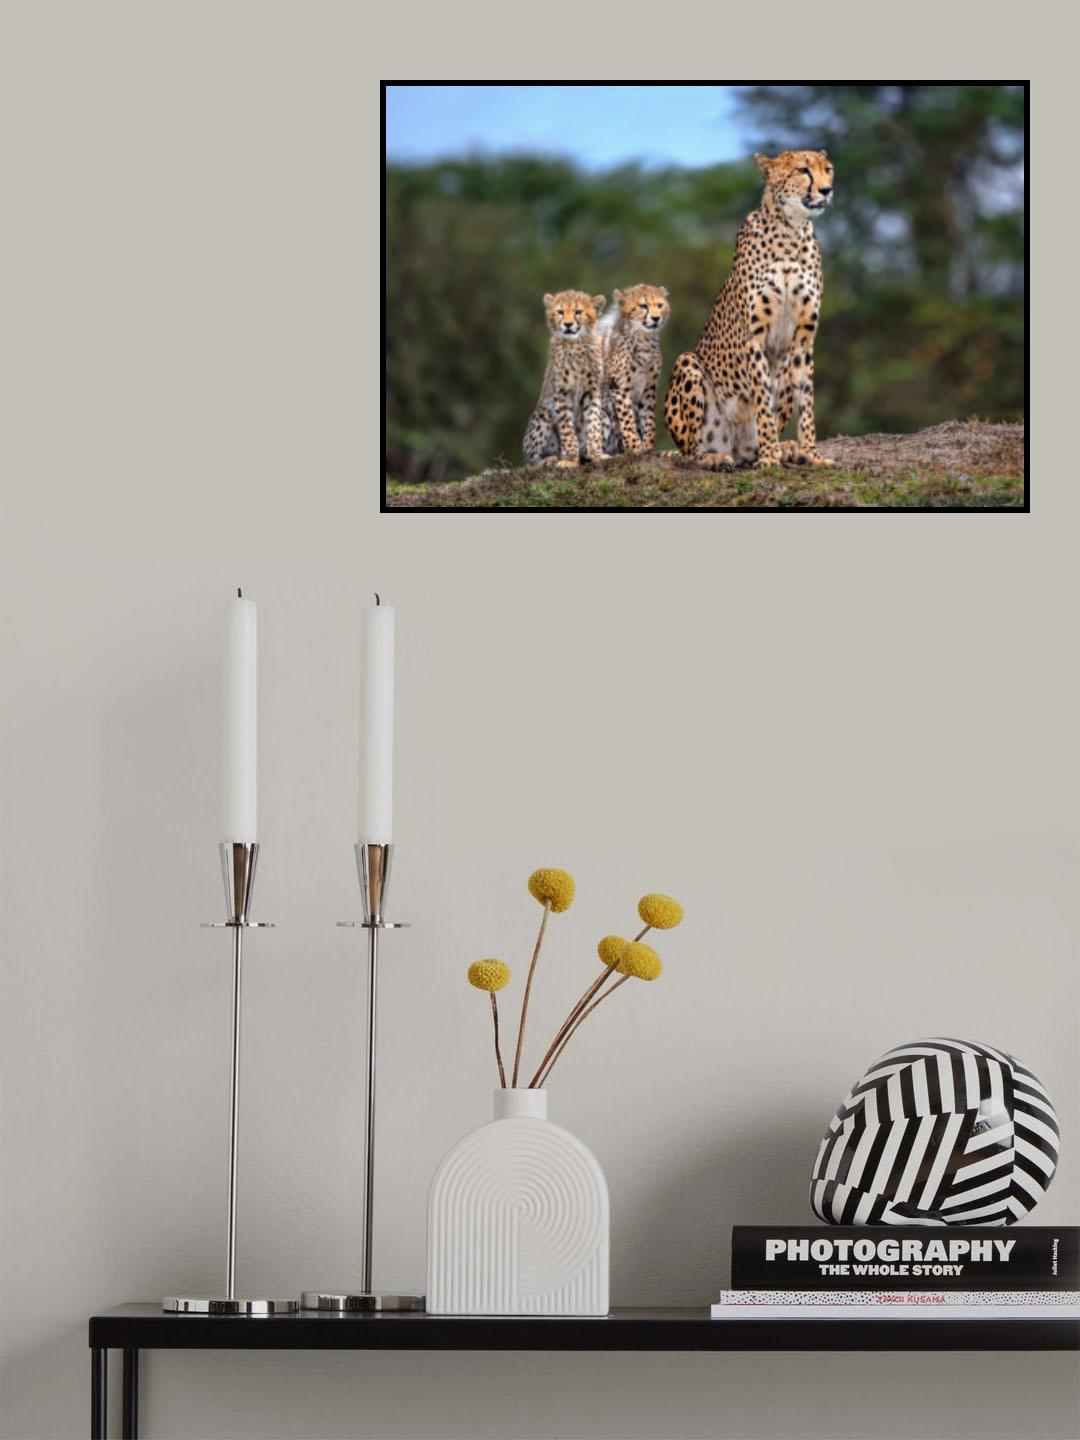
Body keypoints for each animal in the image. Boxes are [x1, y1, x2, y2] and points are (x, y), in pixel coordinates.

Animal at [522, 290, 608, 467]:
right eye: (560, 312)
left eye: (578, 312)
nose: (568, 324)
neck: (575, 344)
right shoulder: (562, 392)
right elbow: (567, 428)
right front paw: (569, 459)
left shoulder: (592, 391)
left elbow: (594, 424)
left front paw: (596, 454)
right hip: (543, 414)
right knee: (530, 459)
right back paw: (549, 459)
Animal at [597, 284, 670, 455]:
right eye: (643, 306)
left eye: (660, 305)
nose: (656, 318)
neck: (643, 339)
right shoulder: (619, 386)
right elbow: (627, 417)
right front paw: (635, 446)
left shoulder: (649, 386)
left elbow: (648, 416)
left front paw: (647, 445)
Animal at [664, 149, 836, 470]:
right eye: (803, 170)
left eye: (828, 169)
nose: (826, 190)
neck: (790, 231)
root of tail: (738, 448)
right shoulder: (754, 337)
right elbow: (762, 401)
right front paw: (769, 456)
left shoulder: (804, 338)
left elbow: (807, 402)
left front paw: (812, 454)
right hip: (687, 364)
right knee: (691, 451)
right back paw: (716, 457)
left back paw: (787, 448)